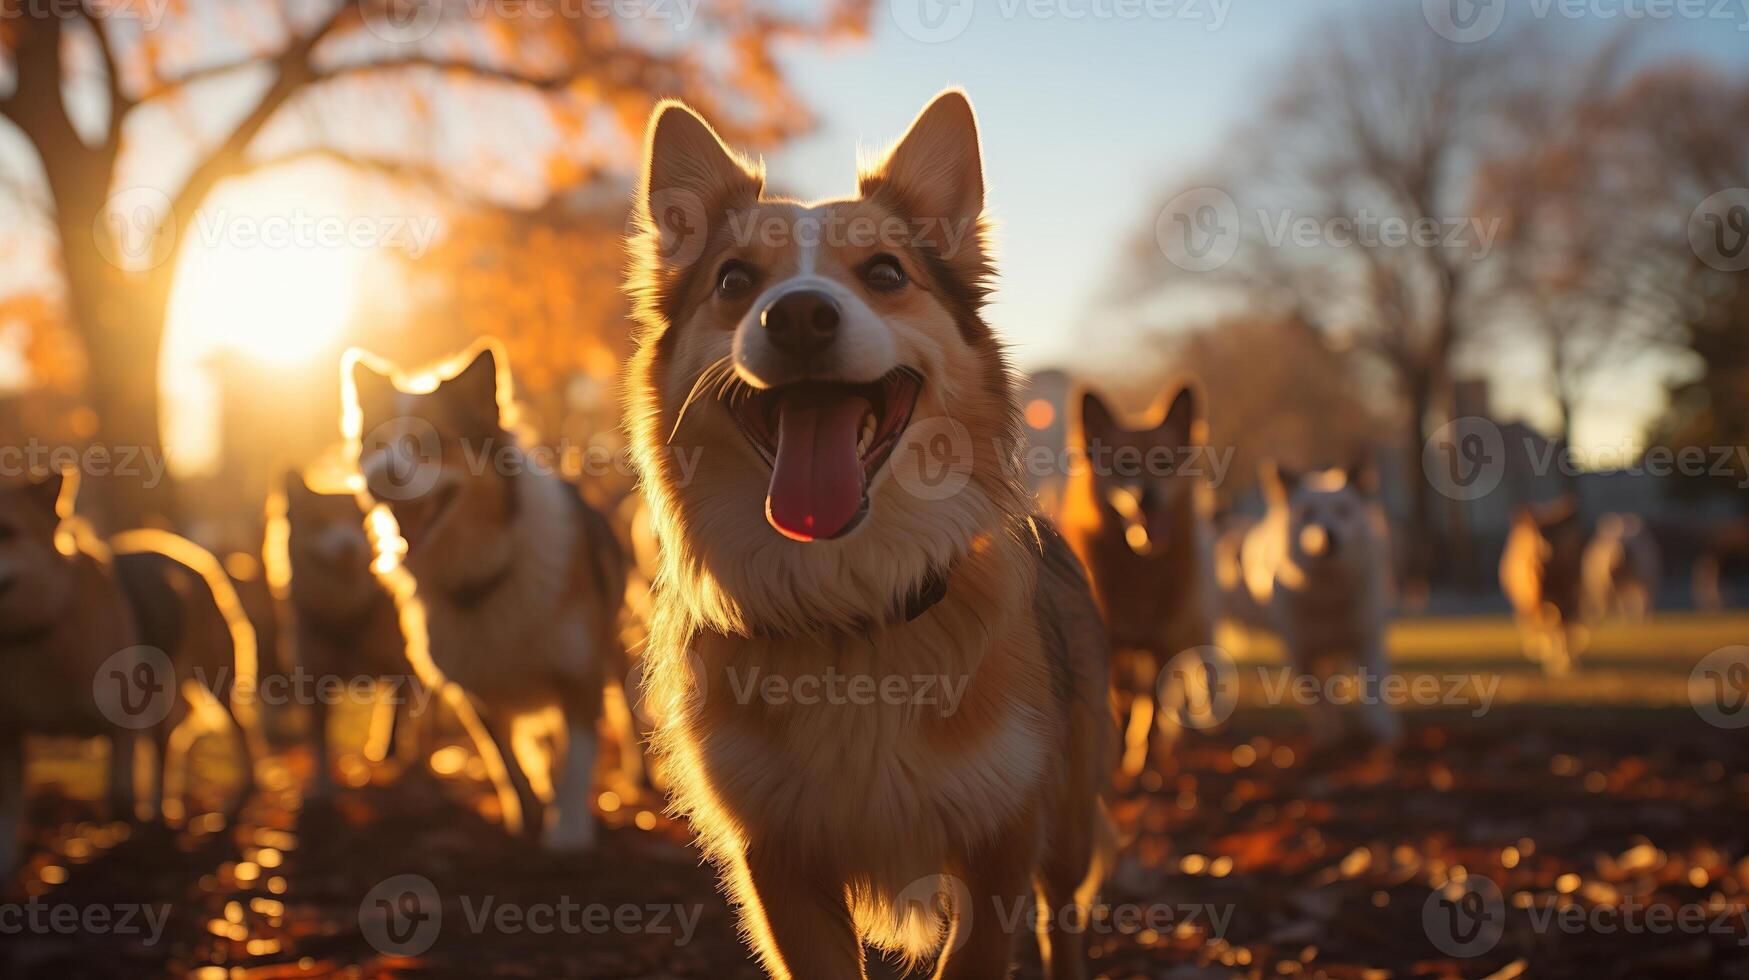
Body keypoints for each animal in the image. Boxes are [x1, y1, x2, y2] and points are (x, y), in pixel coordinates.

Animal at [629, 91, 1112, 980]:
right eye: (734, 279)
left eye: (885, 274)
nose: (798, 314)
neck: (846, 606)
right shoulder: (779, 860)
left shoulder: (1001, 843)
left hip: (1067, 811)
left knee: (1064, 915)